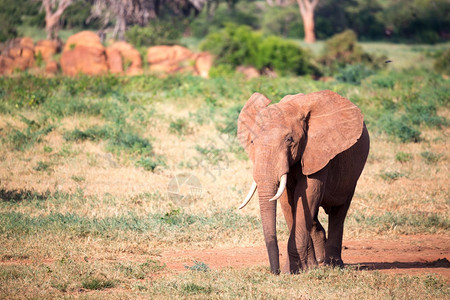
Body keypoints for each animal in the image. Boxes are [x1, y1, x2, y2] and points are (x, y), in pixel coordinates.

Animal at [236, 89, 370, 274]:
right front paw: (303, 268)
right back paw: (318, 261)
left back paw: (333, 265)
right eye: (252, 141)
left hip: (352, 174)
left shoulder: (318, 150)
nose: (275, 272)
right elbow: (288, 201)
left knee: (339, 211)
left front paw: (290, 271)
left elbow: (308, 192)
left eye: (289, 140)